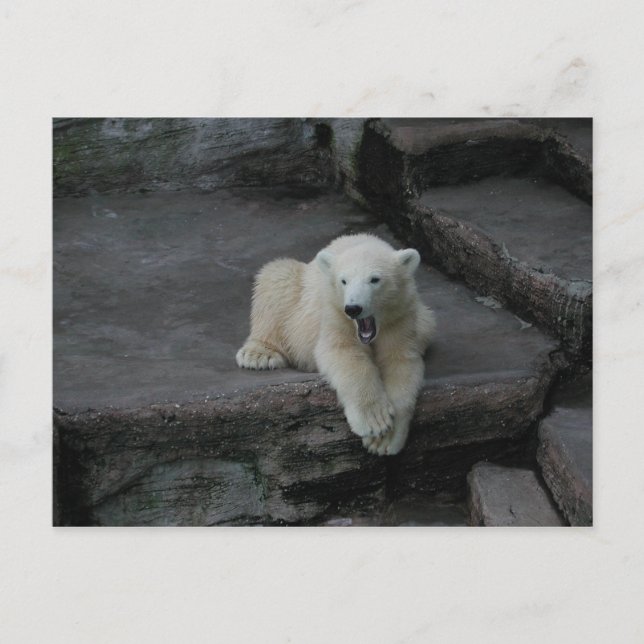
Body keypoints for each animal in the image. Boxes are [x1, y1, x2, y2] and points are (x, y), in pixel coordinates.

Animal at [236, 233, 436, 455]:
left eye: (375, 279)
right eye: (344, 281)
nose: (354, 308)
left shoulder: (401, 317)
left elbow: (400, 361)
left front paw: (385, 440)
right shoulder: (334, 313)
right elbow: (344, 354)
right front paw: (374, 421)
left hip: (424, 319)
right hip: (296, 294)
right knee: (277, 278)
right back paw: (259, 355)